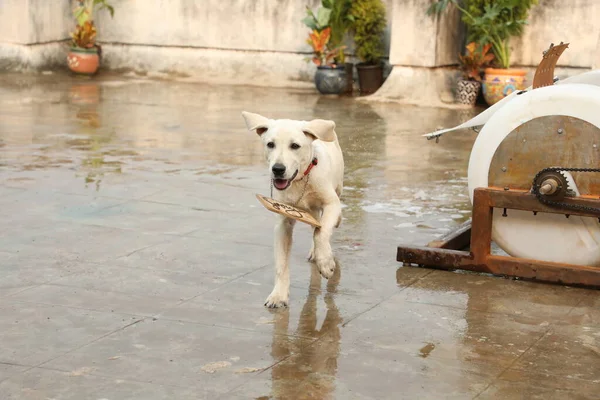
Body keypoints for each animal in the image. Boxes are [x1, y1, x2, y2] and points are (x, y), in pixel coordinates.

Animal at [241, 111, 344, 308]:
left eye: (295, 146)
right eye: (270, 144)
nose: (278, 169)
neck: (300, 180)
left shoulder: (331, 203)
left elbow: (321, 233)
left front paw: (326, 264)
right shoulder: (283, 219)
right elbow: (281, 264)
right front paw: (278, 295)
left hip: (338, 186)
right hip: (310, 211)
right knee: (315, 225)